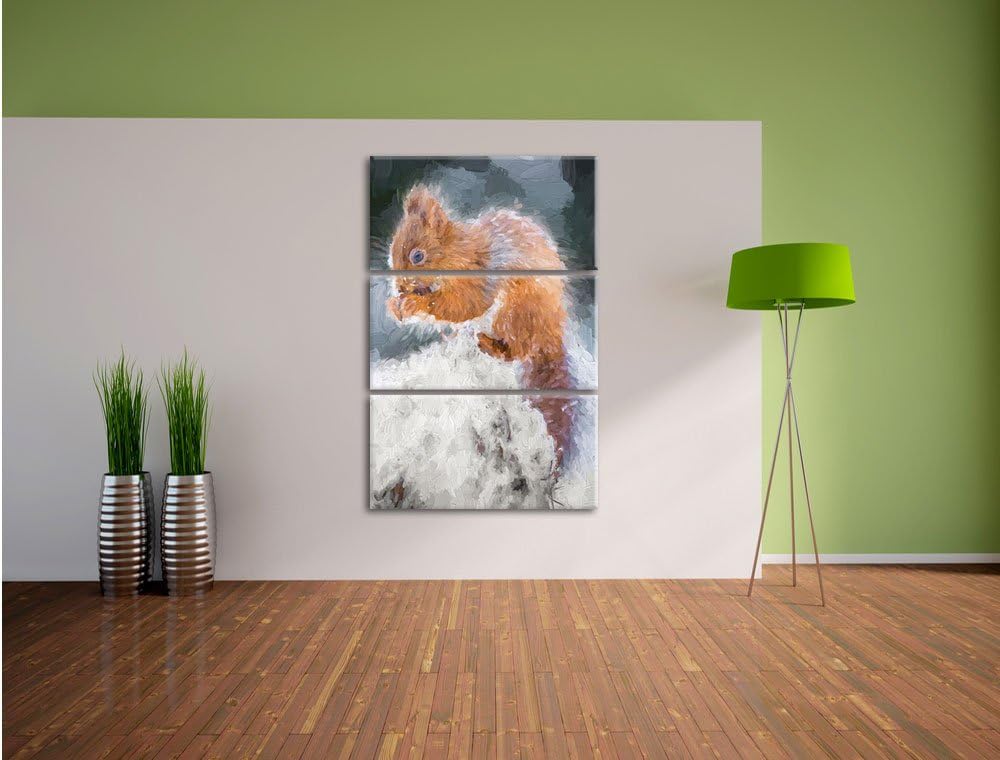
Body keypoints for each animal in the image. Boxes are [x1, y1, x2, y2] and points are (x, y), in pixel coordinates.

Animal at [386, 185, 574, 467]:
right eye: (391, 251)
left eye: (417, 256)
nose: (399, 287)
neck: (456, 253)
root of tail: (551, 333)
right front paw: (394, 305)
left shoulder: (479, 279)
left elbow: (463, 306)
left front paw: (412, 303)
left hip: (514, 313)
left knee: (517, 350)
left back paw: (488, 344)